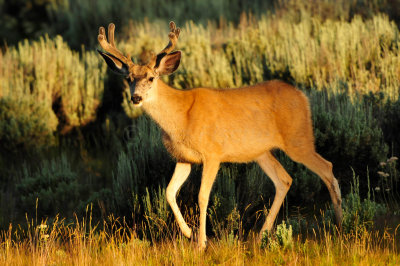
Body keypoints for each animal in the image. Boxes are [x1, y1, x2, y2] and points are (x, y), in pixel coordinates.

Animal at [97, 21, 344, 249]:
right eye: (129, 78)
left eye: (150, 77)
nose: (136, 98)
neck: (181, 115)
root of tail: (303, 97)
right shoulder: (184, 158)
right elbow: (169, 192)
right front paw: (189, 233)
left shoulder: (212, 153)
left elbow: (202, 196)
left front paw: (201, 243)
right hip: (262, 152)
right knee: (284, 180)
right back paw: (261, 236)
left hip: (298, 139)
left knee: (327, 168)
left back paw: (341, 225)